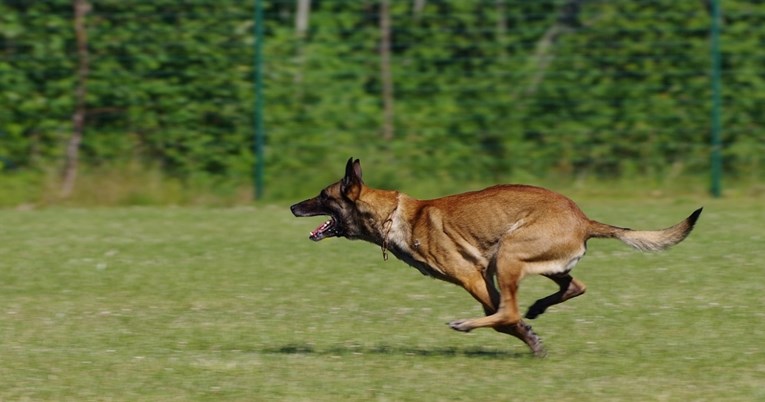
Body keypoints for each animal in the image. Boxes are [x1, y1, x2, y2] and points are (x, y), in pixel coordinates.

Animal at [290, 159, 700, 356]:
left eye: (323, 195)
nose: (294, 206)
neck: (395, 215)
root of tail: (584, 219)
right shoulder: (484, 277)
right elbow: (506, 315)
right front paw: (531, 335)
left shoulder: (472, 276)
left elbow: (504, 318)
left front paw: (528, 339)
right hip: (533, 263)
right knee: (573, 286)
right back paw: (538, 308)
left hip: (509, 254)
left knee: (511, 310)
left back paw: (469, 324)